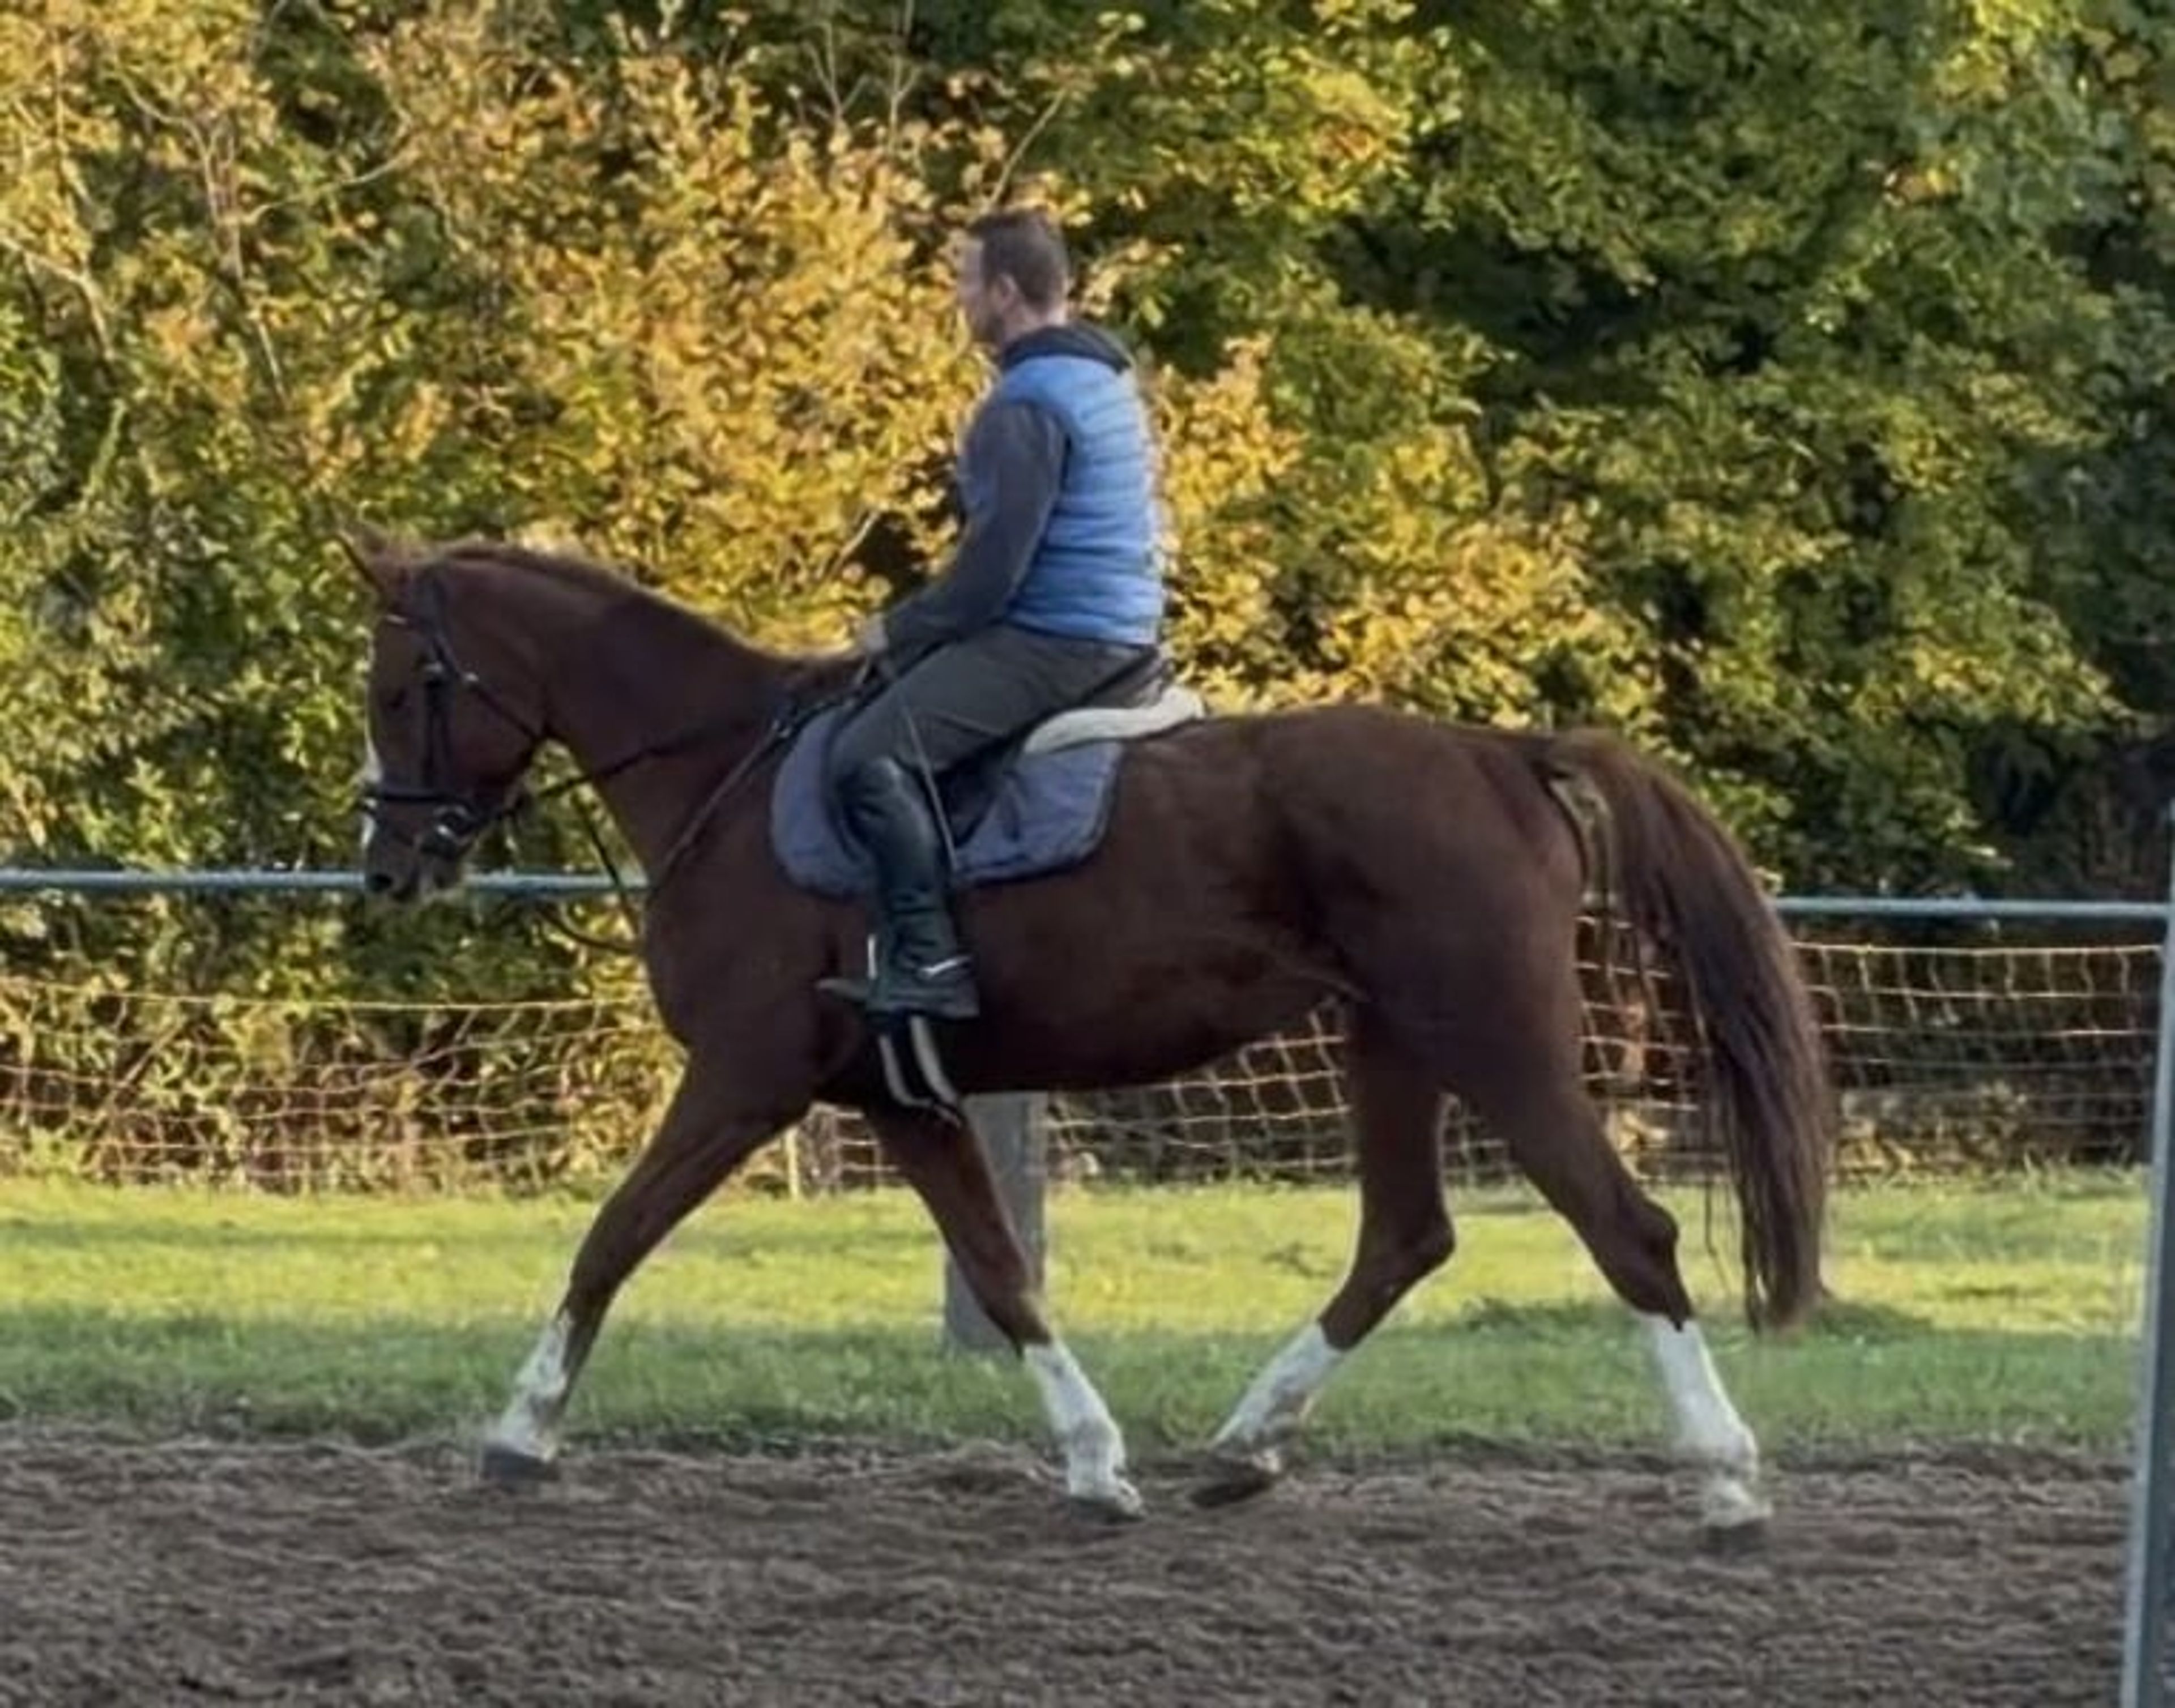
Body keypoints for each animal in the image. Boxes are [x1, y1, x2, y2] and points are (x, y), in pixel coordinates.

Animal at [345, 529, 1832, 1538]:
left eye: (397, 688)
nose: (389, 863)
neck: (724, 772)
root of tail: (1498, 752)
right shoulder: (900, 1100)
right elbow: (1003, 1274)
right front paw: (1094, 1459)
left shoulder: (744, 1076)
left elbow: (612, 1233)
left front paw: (520, 1428)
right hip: (1392, 1043)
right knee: (1404, 1237)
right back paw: (1243, 1442)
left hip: (1496, 1041)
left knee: (1627, 1230)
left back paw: (1723, 1475)